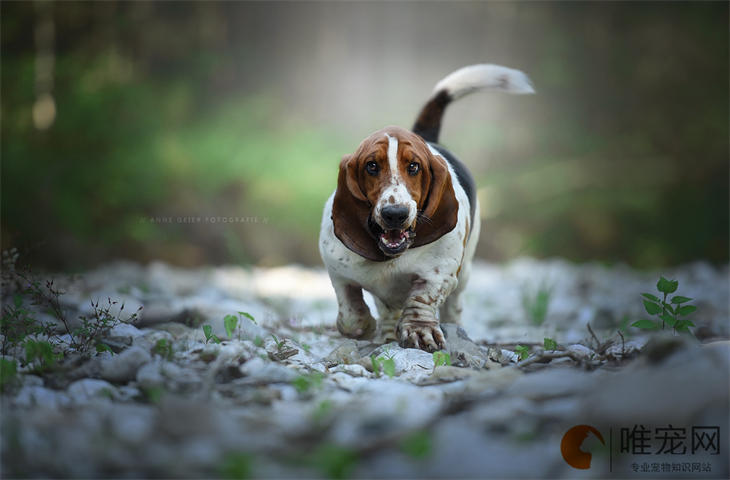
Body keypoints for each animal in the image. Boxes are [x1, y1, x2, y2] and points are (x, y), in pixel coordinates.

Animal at [316, 63, 532, 352]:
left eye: (414, 167)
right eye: (371, 166)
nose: (395, 215)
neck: (391, 255)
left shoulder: (439, 275)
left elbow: (422, 300)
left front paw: (420, 331)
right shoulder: (337, 272)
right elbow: (351, 313)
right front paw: (366, 327)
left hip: (465, 271)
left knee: (453, 307)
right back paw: (386, 334)